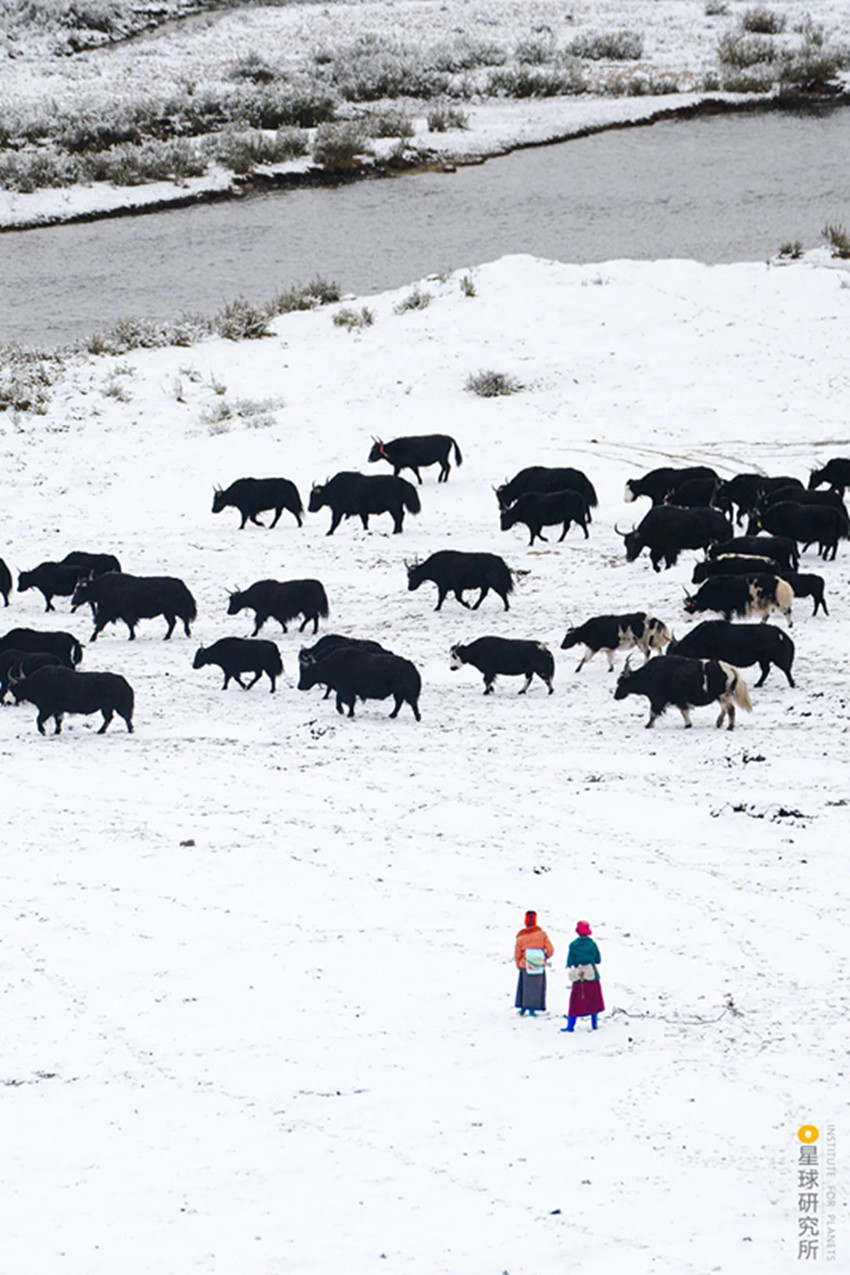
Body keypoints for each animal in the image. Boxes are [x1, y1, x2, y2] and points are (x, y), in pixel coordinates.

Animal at [614, 654, 752, 730]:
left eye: (621, 682)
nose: (615, 696)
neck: (649, 674)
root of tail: (731, 668)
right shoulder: (678, 699)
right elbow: (684, 711)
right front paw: (688, 724)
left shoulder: (659, 699)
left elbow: (653, 712)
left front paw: (648, 725)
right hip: (722, 696)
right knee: (725, 709)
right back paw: (719, 723)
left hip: (723, 695)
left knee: (730, 709)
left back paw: (730, 727)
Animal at [666, 621, 795, 688]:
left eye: (673, 652)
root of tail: (779, 633)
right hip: (763, 659)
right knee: (766, 670)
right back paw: (758, 684)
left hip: (775, 658)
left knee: (786, 669)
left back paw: (792, 684)